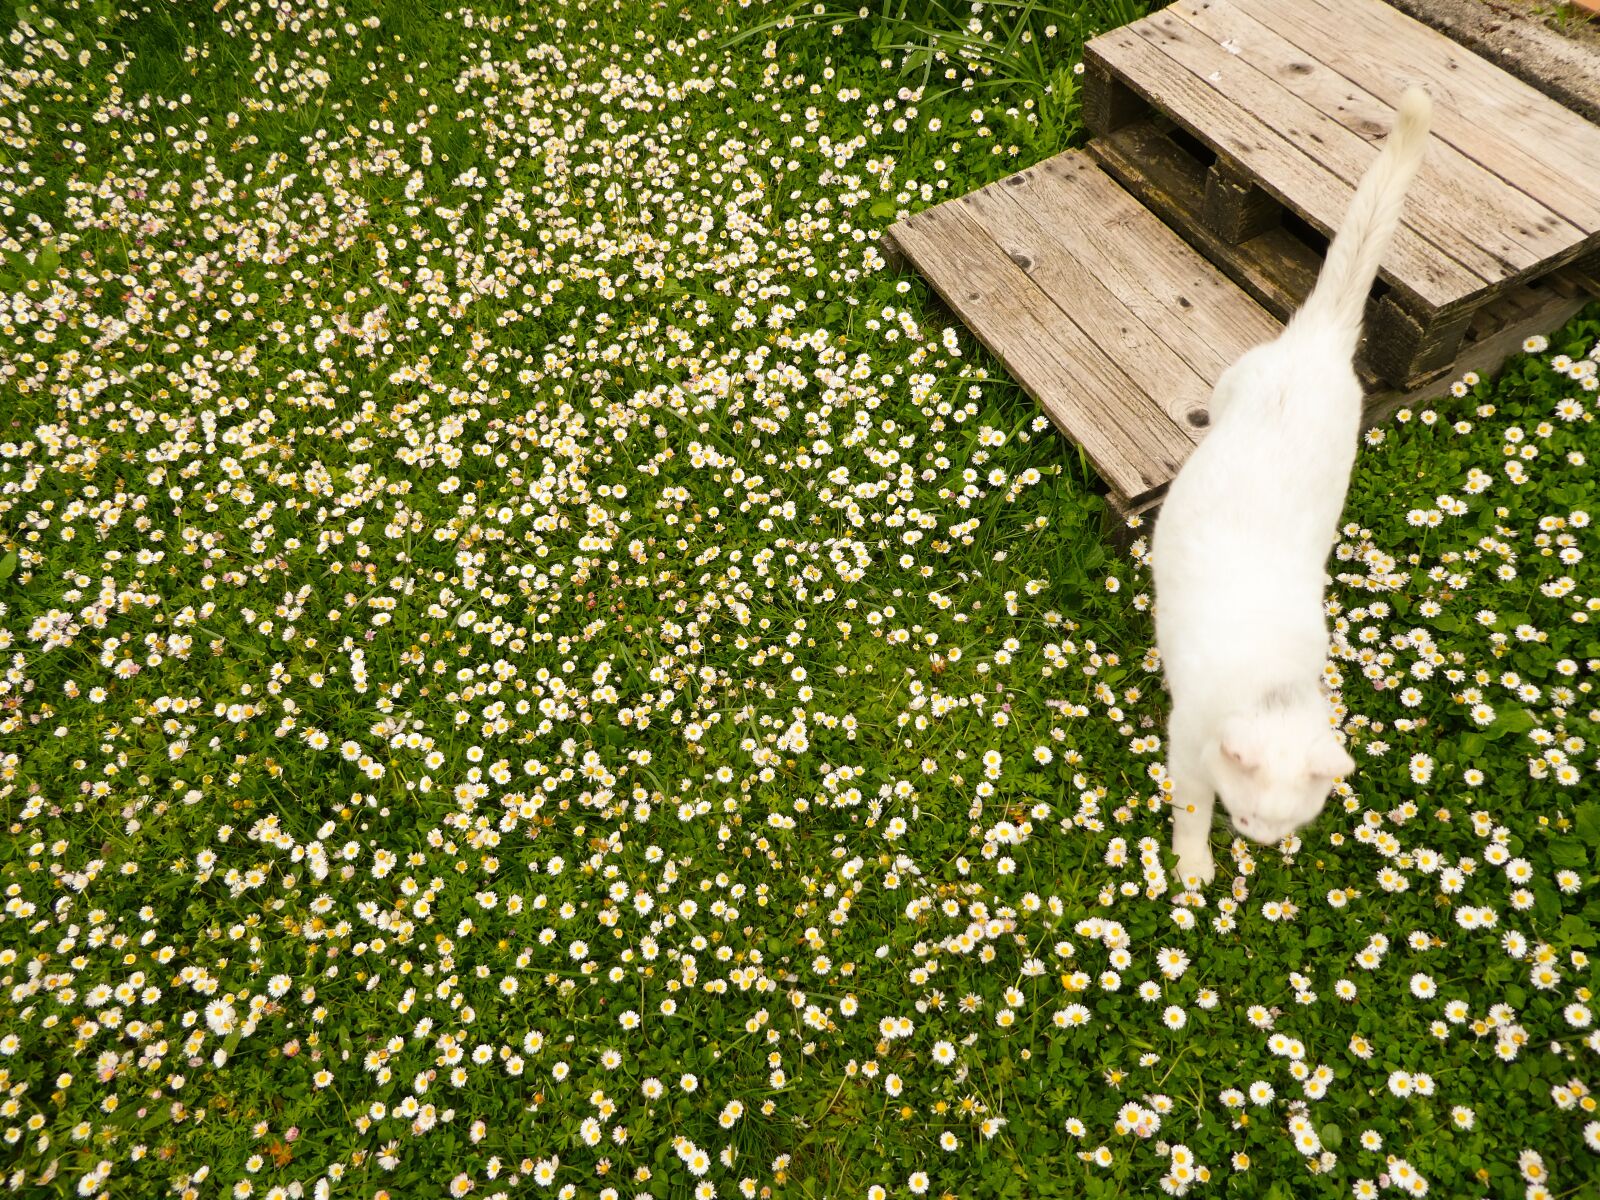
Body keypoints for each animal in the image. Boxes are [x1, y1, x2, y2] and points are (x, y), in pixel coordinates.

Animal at [1158, 89, 1433, 889]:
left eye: (1289, 823)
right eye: (1247, 814)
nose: (1258, 841)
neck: (1272, 690)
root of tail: (1318, 342)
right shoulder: (1185, 747)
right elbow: (1191, 811)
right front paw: (1193, 870)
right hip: (1227, 390)